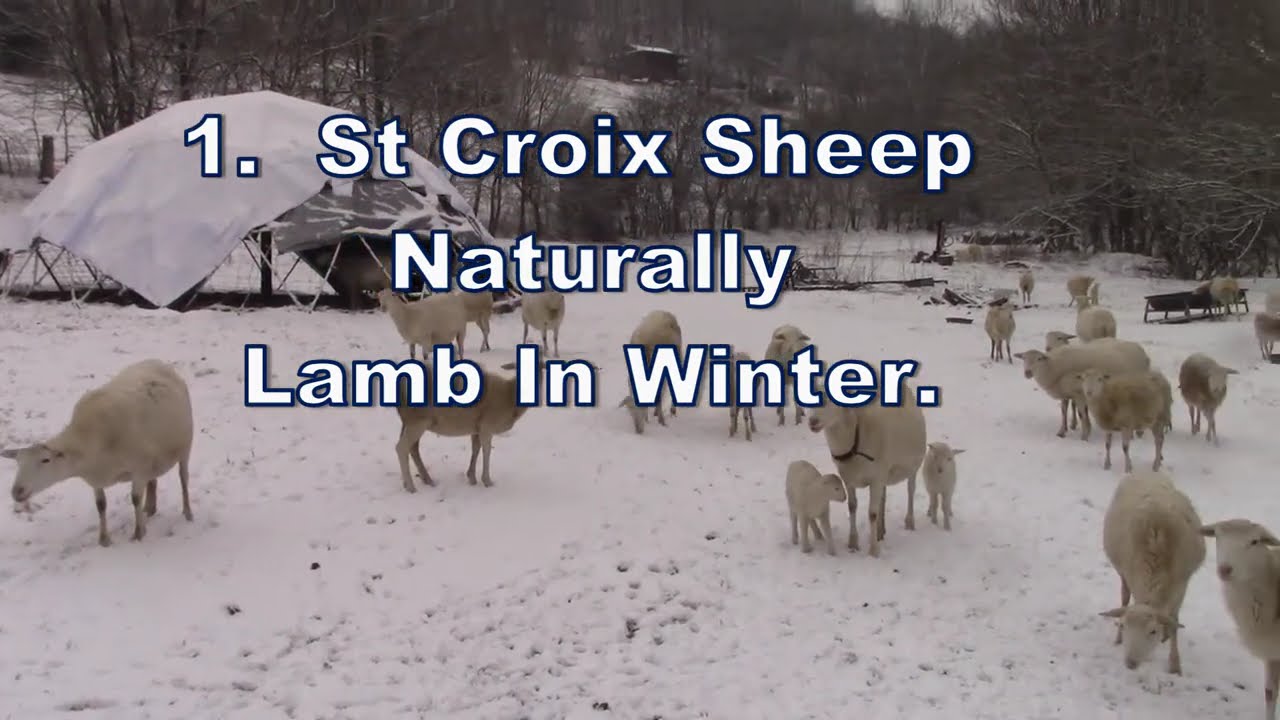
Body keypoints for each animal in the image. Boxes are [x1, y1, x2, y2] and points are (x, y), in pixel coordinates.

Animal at [2, 359, 194, 547]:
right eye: (18, 463)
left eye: (45, 460)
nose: (16, 491)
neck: (88, 439)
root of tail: (158, 362)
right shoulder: (96, 476)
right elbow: (100, 505)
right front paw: (104, 539)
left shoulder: (139, 467)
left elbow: (135, 499)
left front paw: (138, 533)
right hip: (153, 459)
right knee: (152, 480)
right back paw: (149, 509)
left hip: (185, 447)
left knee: (183, 478)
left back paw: (187, 513)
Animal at [808, 380, 927, 557]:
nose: (812, 421)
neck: (857, 435)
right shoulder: (848, 478)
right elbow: (852, 507)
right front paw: (853, 543)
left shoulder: (876, 478)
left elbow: (872, 513)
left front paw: (873, 551)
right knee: (883, 498)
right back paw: (880, 530)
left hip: (913, 465)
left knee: (910, 490)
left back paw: (909, 522)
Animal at [1014, 338, 1151, 440]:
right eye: (1023, 358)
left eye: (1039, 359)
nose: (1027, 373)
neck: (1053, 366)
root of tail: (1141, 351)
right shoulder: (1065, 393)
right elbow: (1063, 411)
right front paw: (1062, 431)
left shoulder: (1079, 394)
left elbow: (1081, 414)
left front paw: (1085, 435)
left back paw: (1139, 432)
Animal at [1099, 469, 1205, 675]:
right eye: (1124, 625)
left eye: (1152, 631)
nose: (1130, 663)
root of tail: (1146, 469)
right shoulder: (1129, 572)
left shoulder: (1181, 585)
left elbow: (1174, 621)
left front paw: (1175, 664)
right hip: (1123, 572)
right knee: (1124, 598)